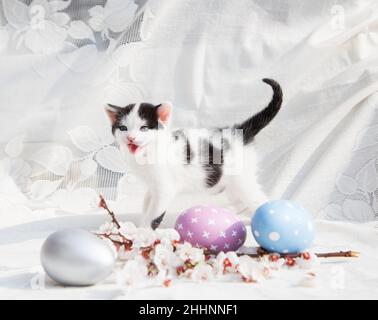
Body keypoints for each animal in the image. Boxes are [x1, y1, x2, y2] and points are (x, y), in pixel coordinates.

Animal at [105, 80, 282, 230]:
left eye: (144, 128)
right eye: (123, 128)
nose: (131, 138)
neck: (148, 153)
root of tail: (241, 132)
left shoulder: (165, 188)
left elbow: (153, 214)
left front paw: (143, 233)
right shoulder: (152, 186)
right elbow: (146, 204)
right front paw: (138, 227)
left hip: (242, 180)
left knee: (258, 199)